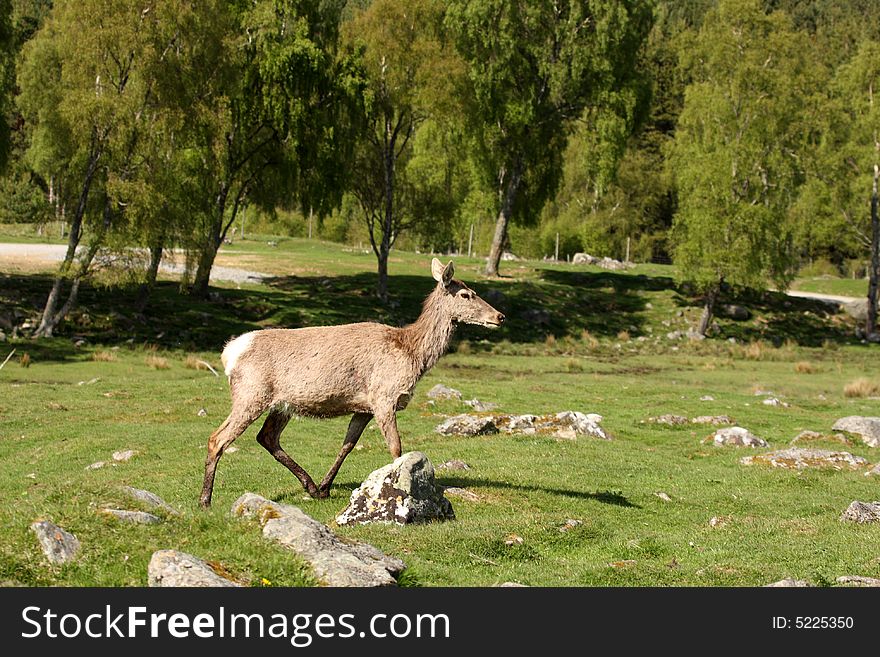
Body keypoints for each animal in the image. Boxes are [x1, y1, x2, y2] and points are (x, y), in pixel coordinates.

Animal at [199, 256, 502, 508]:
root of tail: (229, 353)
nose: (500, 316)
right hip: (251, 393)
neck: (411, 353)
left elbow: (347, 445)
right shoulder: (384, 396)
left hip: (282, 404)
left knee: (267, 437)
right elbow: (397, 448)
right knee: (217, 438)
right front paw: (405, 491)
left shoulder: (363, 407)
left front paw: (326, 486)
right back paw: (205, 500)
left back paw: (311, 487)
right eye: (466, 294)